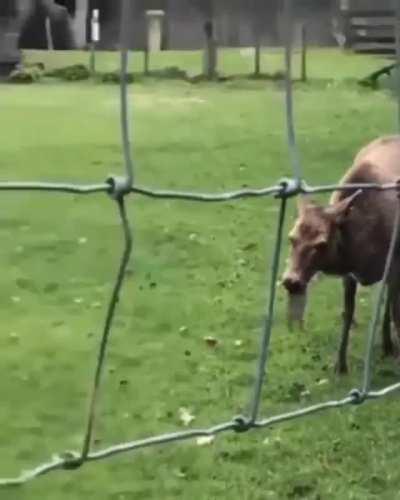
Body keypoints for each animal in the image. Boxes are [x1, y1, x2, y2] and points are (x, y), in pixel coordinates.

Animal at [282, 135, 400, 374]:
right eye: (291, 238)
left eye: (322, 243)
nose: (291, 281)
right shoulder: (350, 275)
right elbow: (348, 313)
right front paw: (340, 364)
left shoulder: (395, 264)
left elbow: (392, 309)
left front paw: (389, 345)